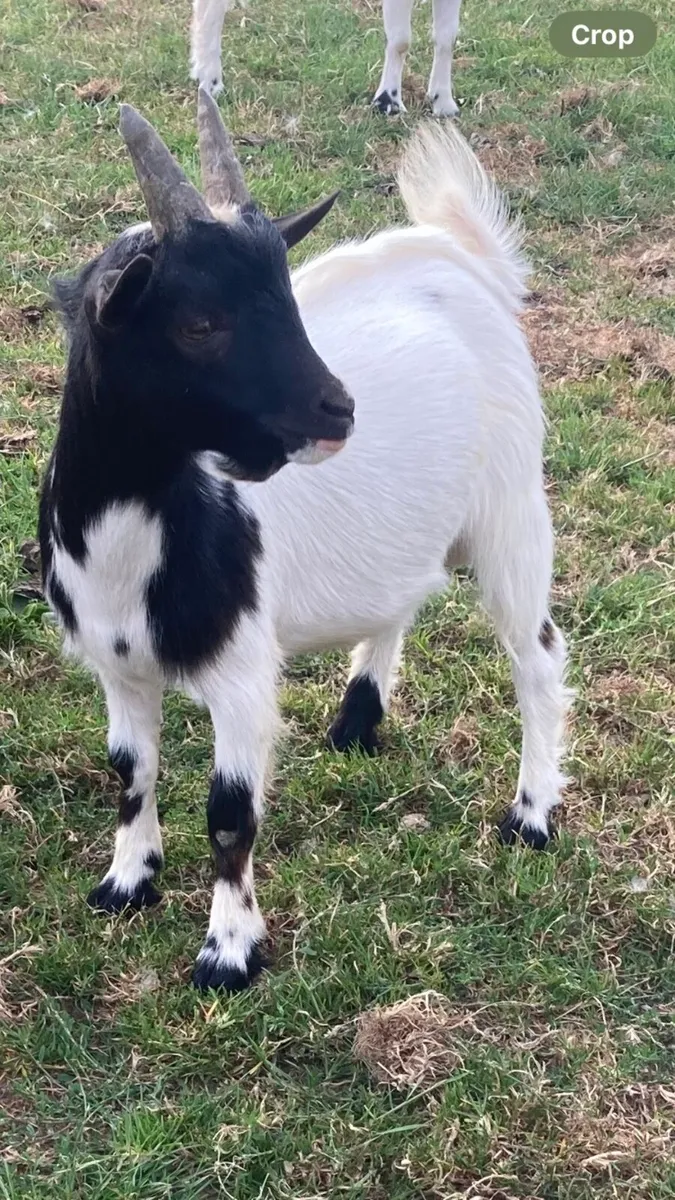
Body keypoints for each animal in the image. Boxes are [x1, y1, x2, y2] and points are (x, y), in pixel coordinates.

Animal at [41, 91, 570, 992]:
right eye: (199, 323)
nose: (337, 409)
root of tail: (458, 254)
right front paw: (125, 883)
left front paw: (228, 952)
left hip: (510, 507)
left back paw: (530, 817)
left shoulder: (243, 677)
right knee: (402, 596)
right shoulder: (117, 665)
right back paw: (357, 720)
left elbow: (229, 814)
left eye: (288, 299)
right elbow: (129, 772)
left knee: (537, 656)